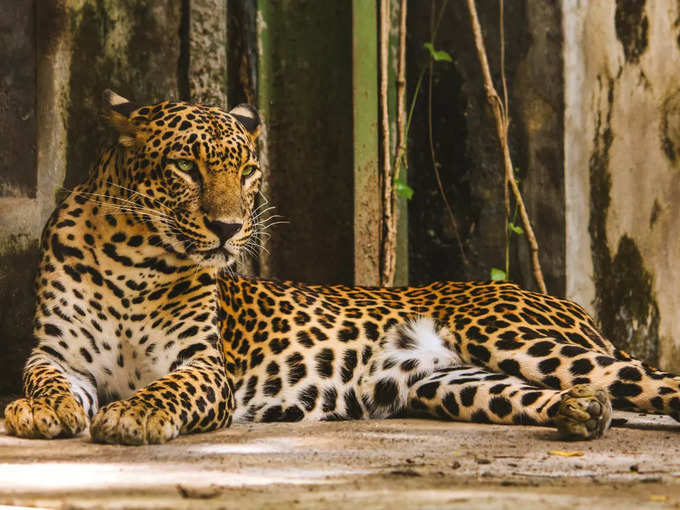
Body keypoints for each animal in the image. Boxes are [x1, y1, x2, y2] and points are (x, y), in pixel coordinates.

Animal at [2, 89, 676, 444]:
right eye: (185, 167)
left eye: (248, 172)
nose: (228, 228)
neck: (133, 262)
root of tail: (568, 303)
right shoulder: (57, 354)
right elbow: (44, 380)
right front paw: (40, 410)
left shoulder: (203, 367)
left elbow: (170, 387)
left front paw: (134, 414)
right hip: (450, 384)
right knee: (561, 396)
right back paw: (582, 412)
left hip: (519, 338)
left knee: (656, 382)